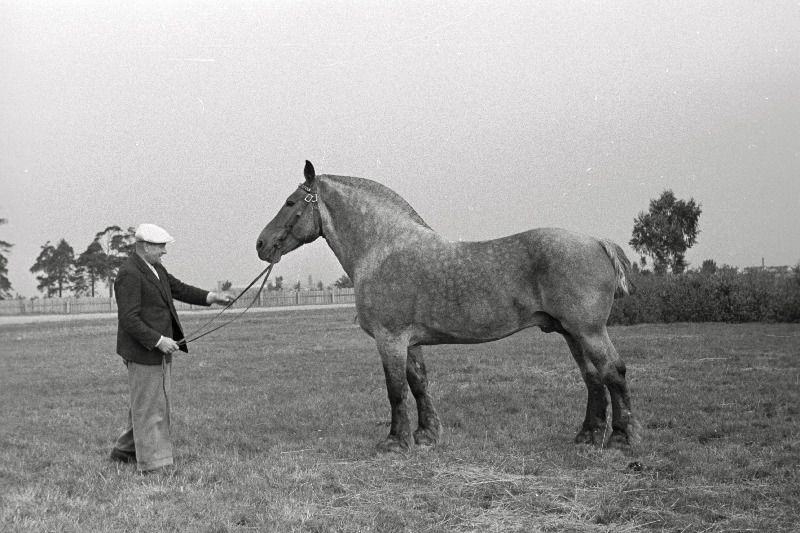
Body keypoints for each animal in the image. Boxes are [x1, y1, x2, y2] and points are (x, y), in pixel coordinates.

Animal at [256, 160, 636, 450]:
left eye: (291, 202)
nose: (261, 244)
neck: (382, 249)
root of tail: (596, 242)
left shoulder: (390, 339)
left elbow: (395, 390)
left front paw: (395, 442)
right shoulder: (409, 341)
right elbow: (418, 383)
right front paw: (425, 435)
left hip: (589, 331)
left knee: (612, 371)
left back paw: (620, 437)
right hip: (572, 333)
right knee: (592, 377)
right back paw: (588, 435)